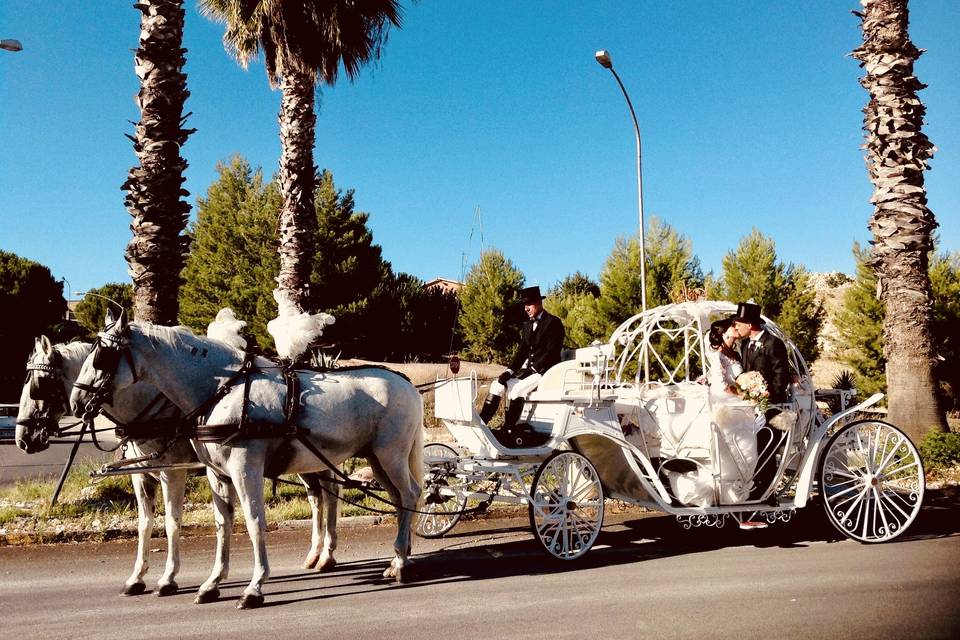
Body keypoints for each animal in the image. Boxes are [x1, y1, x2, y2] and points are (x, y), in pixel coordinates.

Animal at [15, 336, 342, 600]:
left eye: (39, 385)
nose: (23, 438)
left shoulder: (173, 472)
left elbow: (172, 523)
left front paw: (168, 579)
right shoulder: (140, 476)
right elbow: (145, 524)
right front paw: (137, 577)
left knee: (329, 493)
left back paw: (326, 554)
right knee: (318, 497)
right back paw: (316, 553)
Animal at [69, 316, 422, 608]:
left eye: (101, 356)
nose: (76, 401)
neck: (222, 391)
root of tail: (407, 383)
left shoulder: (239, 469)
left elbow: (252, 522)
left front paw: (254, 587)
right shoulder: (214, 475)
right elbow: (220, 525)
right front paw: (211, 583)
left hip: (390, 455)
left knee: (407, 496)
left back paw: (401, 563)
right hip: (370, 459)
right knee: (386, 498)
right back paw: (386, 558)